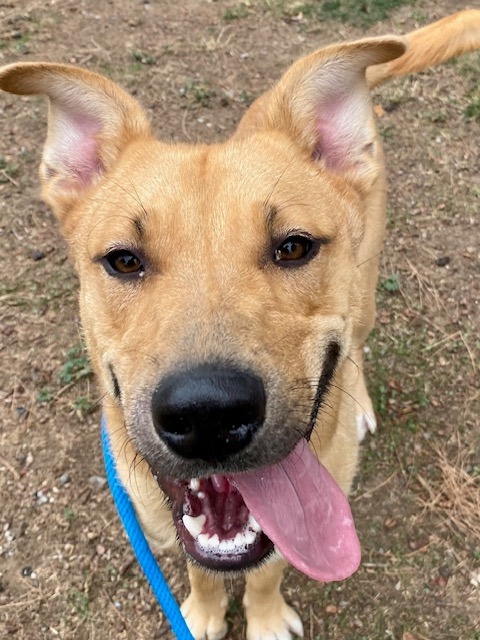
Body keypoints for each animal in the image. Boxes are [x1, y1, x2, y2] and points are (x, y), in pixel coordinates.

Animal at [0, 10, 480, 640]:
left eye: (294, 247)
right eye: (124, 260)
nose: (208, 414)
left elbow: (269, 567)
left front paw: (266, 618)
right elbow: (200, 568)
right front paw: (204, 613)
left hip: (368, 285)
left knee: (357, 343)